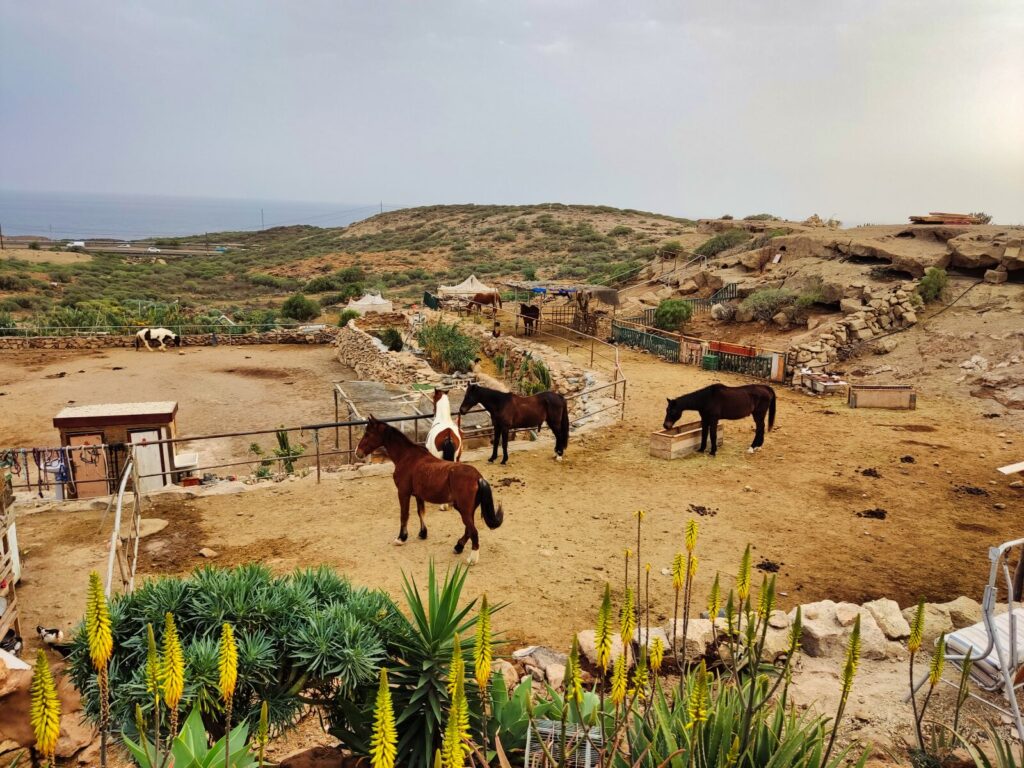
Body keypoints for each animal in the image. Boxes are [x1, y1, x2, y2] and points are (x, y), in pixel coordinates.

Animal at [356, 415, 503, 565]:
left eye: (367, 434)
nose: (358, 452)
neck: (408, 457)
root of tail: (478, 477)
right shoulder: (418, 495)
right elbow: (421, 512)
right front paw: (422, 533)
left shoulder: (403, 493)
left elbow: (404, 515)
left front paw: (401, 538)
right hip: (467, 509)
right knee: (469, 529)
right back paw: (458, 547)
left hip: (464, 509)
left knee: (473, 531)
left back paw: (472, 558)